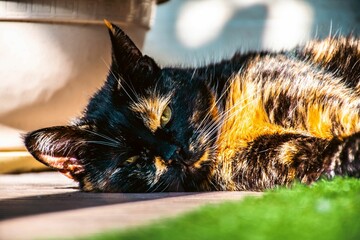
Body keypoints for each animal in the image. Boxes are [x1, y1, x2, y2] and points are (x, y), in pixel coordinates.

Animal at [23, 21, 358, 193]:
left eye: (166, 114)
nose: (177, 152)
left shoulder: (297, 92)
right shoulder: (268, 158)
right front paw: (349, 154)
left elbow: (344, 110)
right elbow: (316, 155)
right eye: (133, 159)